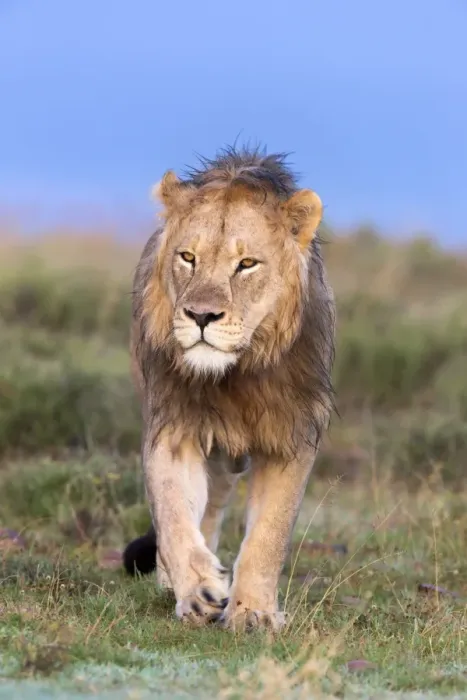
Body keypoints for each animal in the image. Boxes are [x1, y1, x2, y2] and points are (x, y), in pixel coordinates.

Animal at [123, 145, 336, 631]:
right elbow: (173, 513)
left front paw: (253, 612)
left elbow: (269, 535)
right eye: (187, 257)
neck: (234, 375)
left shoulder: (291, 435)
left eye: (246, 264)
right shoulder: (174, 426)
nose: (201, 316)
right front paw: (199, 590)